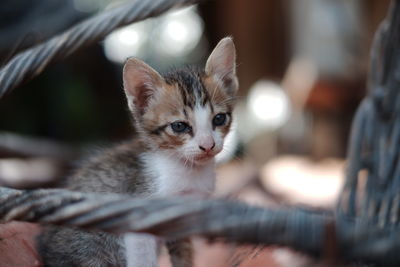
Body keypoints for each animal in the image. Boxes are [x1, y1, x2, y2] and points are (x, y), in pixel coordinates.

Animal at [37, 37, 238, 267]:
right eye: (179, 126)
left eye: (219, 119)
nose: (207, 145)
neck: (187, 170)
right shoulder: (139, 212)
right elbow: (143, 258)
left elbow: (183, 254)